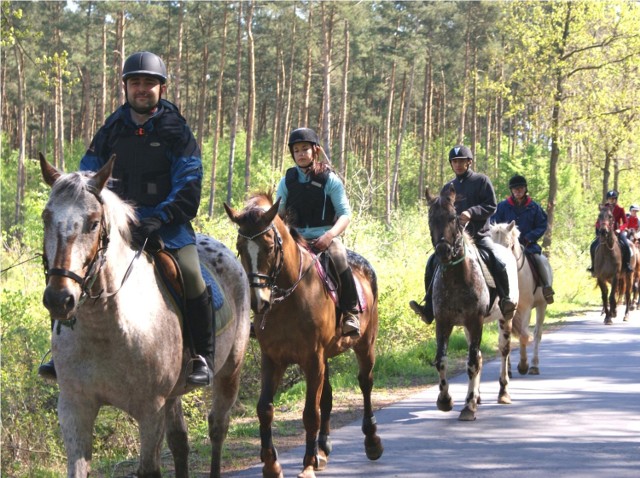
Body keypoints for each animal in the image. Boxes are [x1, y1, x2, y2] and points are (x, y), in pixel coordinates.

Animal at [38, 154, 250, 478]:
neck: (105, 329)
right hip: (175, 394)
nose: (60, 299)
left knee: (218, 427)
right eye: (46, 218)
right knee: (180, 442)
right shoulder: (75, 406)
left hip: (230, 371)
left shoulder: (151, 410)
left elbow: (149, 468)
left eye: (93, 222)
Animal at [225, 193, 382, 478]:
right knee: (327, 396)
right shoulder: (273, 359)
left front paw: (307, 465)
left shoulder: (312, 359)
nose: (259, 302)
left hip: (365, 344)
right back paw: (323, 448)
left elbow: (310, 413)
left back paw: (372, 442)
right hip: (326, 357)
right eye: (240, 247)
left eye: (269, 247)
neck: (289, 297)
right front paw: (271, 465)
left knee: (365, 382)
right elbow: (265, 409)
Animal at [490, 221, 552, 378]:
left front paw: (523, 365)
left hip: (542, 306)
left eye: (509, 245)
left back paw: (534, 366)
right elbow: (504, 339)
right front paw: (507, 371)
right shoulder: (504, 312)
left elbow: (524, 336)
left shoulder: (525, 308)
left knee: (537, 334)